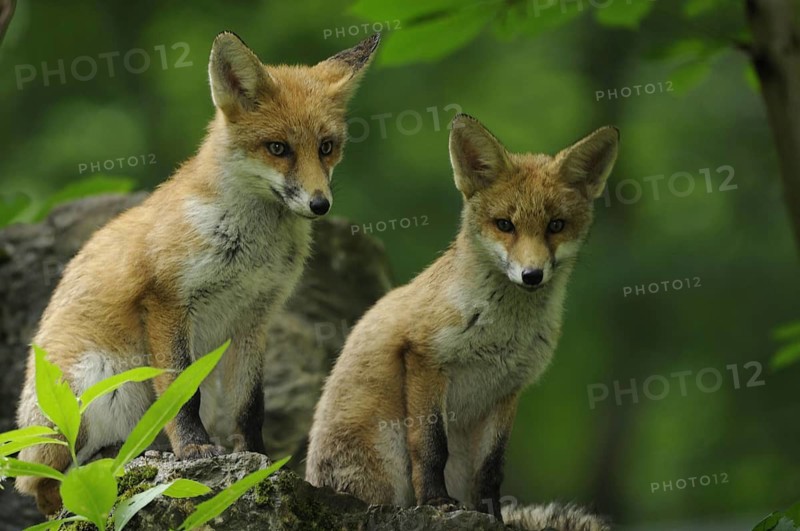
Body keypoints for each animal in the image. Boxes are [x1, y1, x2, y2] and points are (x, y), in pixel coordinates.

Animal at [15, 31, 380, 514]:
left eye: (326, 146)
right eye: (277, 148)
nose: (320, 204)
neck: (249, 249)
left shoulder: (254, 317)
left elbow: (250, 404)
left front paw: (258, 460)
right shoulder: (166, 300)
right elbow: (180, 394)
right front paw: (193, 450)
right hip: (100, 382)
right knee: (52, 487)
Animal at [305, 114, 618, 531]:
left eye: (556, 225)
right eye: (505, 224)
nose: (532, 275)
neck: (503, 331)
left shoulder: (507, 389)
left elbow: (491, 470)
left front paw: (493, 518)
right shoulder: (425, 359)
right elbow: (431, 448)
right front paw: (436, 502)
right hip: (385, 455)